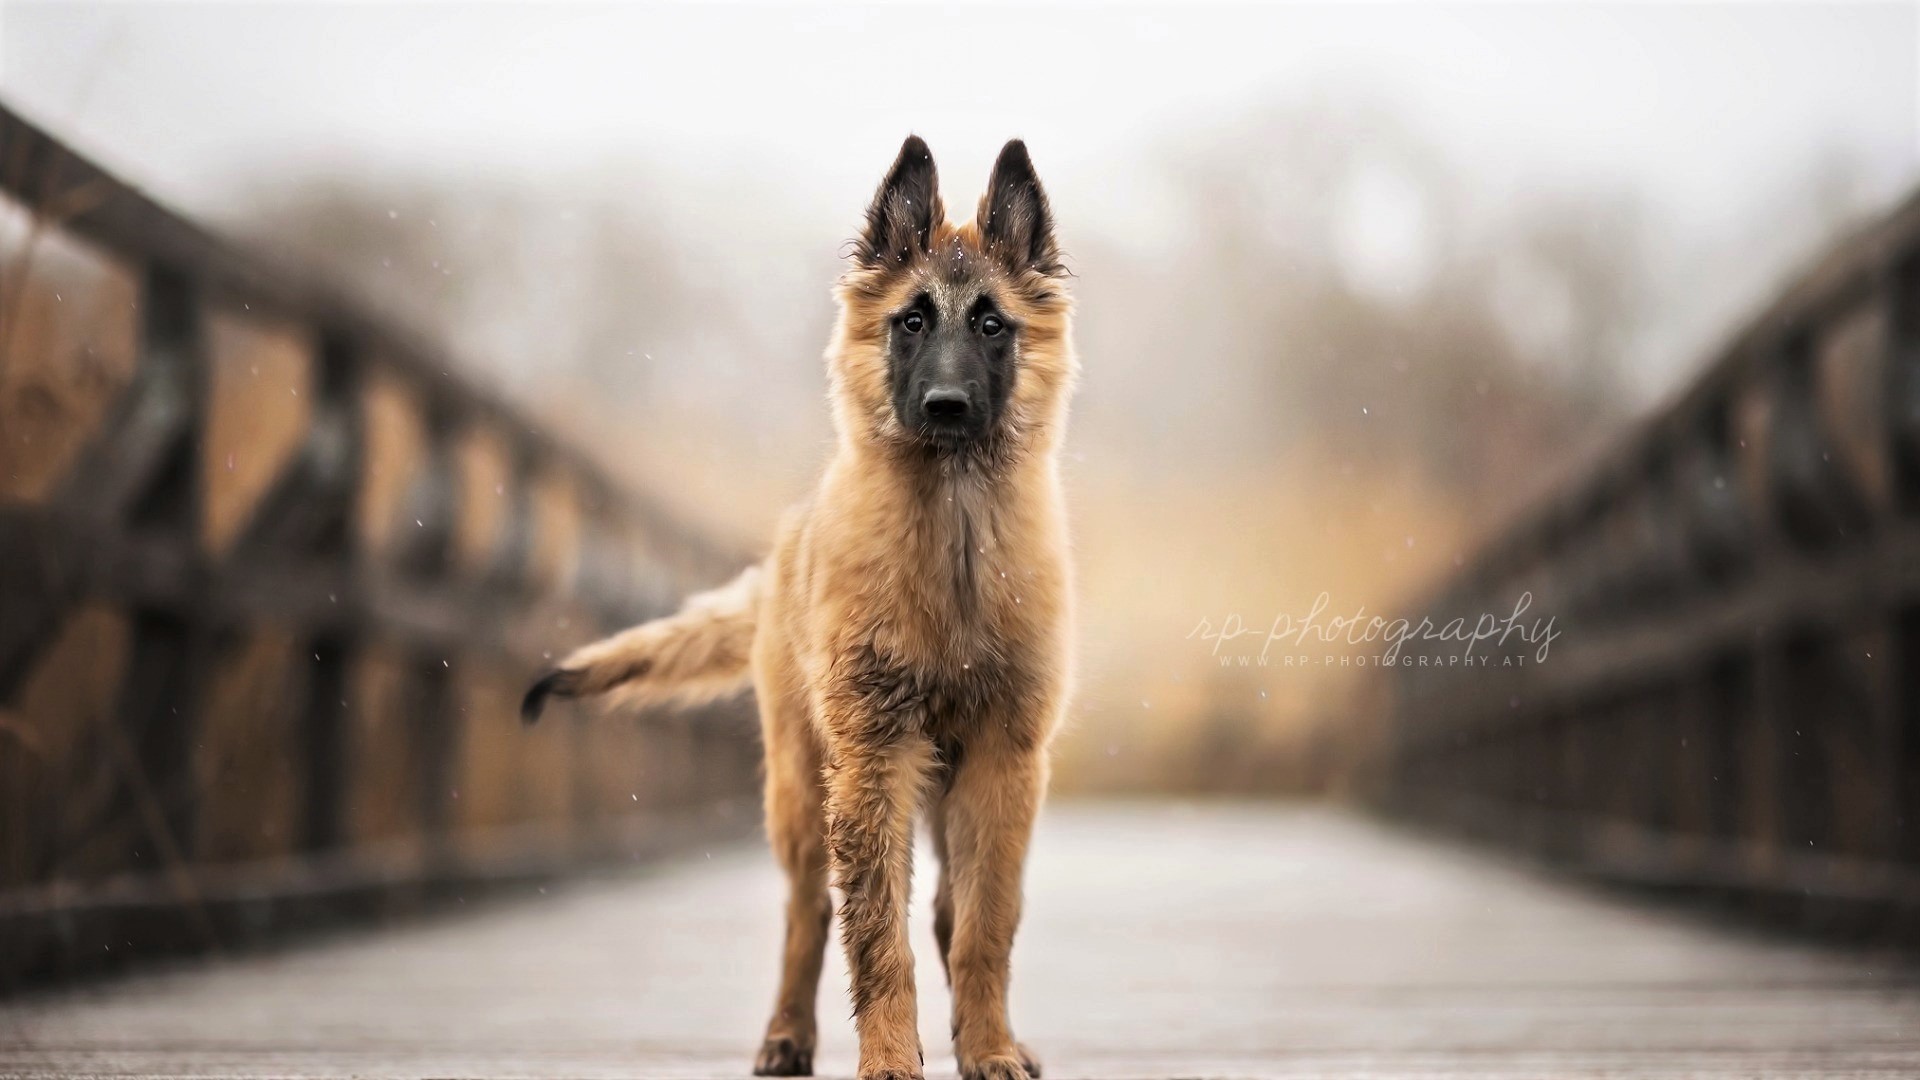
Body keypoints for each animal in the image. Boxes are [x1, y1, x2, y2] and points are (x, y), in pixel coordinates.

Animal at [518, 134, 1075, 1076]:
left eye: (992, 324)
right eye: (912, 321)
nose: (946, 407)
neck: (954, 538)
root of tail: (781, 551)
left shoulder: (1006, 759)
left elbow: (984, 926)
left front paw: (990, 1047)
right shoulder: (872, 757)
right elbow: (875, 933)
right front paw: (890, 1058)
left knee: (947, 912)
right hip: (803, 791)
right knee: (807, 915)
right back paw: (785, 1035)